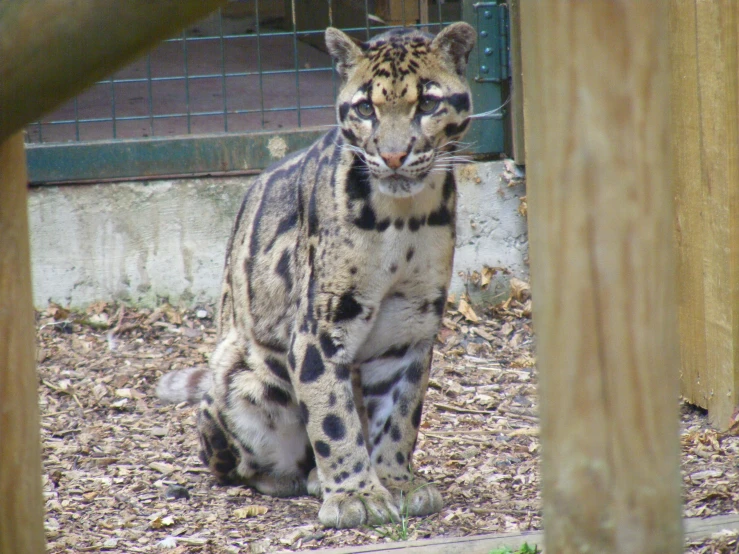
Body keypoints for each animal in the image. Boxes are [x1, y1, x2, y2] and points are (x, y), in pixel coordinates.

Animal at [158, 22, 476, 528]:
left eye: (427, 103)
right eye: (365, 108)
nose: (393, 157)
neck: (404, 220)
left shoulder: (412, 322)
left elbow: (401, 414)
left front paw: (397, 482)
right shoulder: (321, 325)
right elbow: (332, 416)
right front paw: (355, 496)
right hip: (238, 372)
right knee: (236, 465)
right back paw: (299, 478)